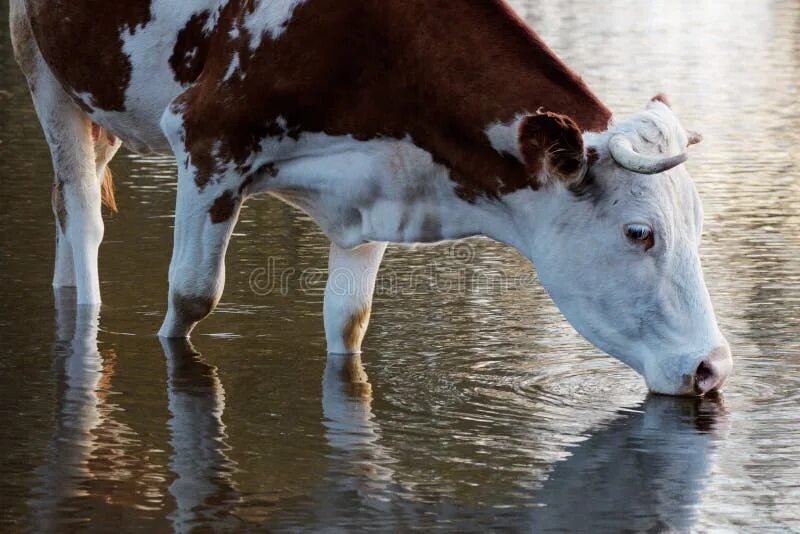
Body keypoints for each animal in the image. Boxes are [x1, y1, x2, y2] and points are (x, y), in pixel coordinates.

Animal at [7, 1, 732, 398]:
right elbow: (191, 296)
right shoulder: (207, 136)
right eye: (639, 232)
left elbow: (349, 319)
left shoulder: (378, 190)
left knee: (65, 208)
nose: (712, 368)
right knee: (82, 210)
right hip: (40, 63)